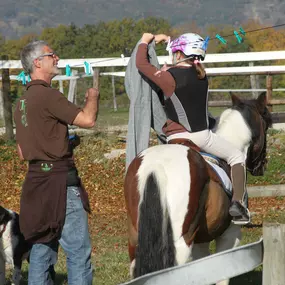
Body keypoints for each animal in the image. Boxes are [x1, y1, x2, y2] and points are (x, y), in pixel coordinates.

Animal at [123, 91, 272, 282]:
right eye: (266, 126)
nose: (262, 167)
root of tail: (156, 166)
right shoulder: (230, 235)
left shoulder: (201, 241)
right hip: (180, 244)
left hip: (136, 241)